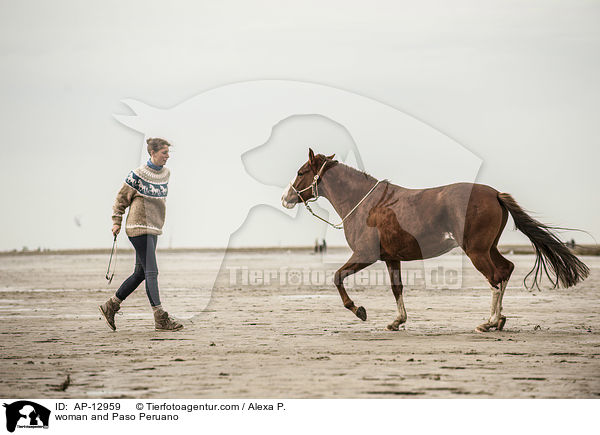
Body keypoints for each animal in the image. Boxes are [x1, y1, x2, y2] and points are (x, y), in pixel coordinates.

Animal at [282, 150, 592, 334]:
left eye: (301, 172)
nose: (286, 198)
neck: (368, 204)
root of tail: (494, 194)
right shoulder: (391, 258)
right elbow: (397, 289)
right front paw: (397, 320)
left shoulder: (365, 255)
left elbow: (337, 277)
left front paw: (358, 310)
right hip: (488, 248)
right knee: (506, 270)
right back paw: (500, 320)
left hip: (476, 251)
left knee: (495, 277)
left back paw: (489, 322)